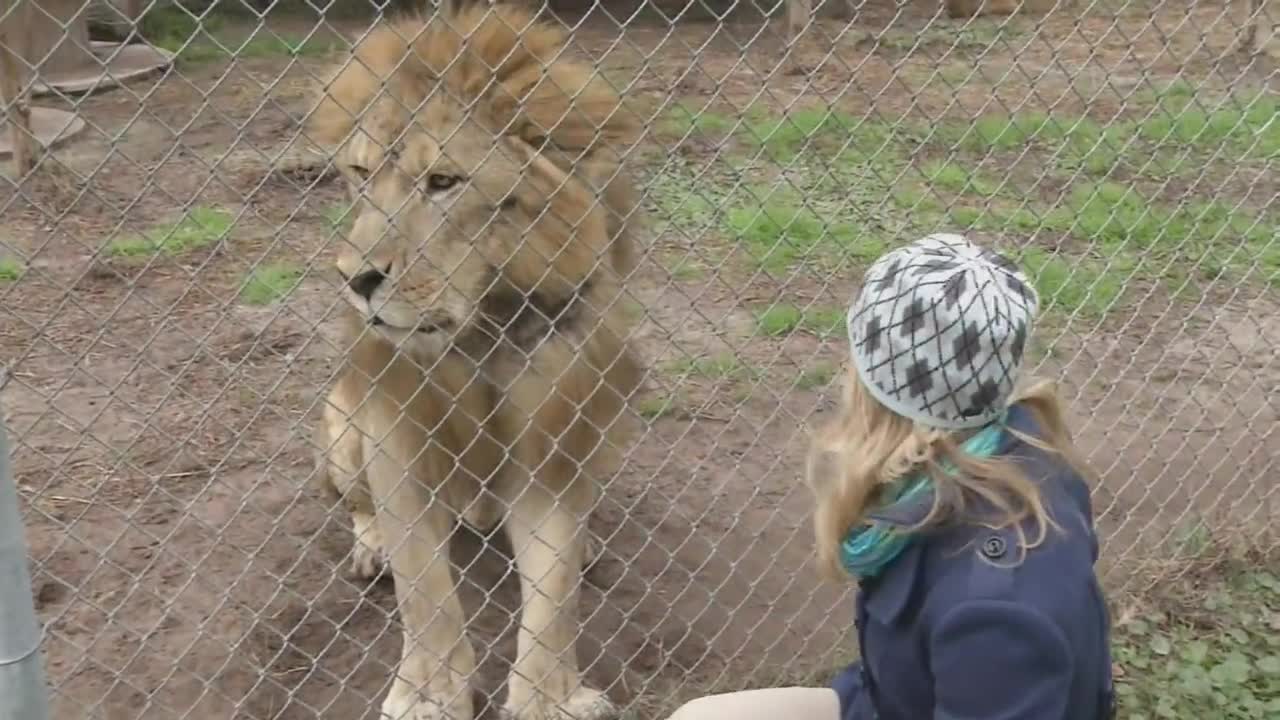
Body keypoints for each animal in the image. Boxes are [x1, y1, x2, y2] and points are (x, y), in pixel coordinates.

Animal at [305, 4, 645, 712]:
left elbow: (554, 596)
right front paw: (429, 697)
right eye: (360, 176)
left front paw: (548, 699)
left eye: (442, 183)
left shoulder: (556, 441)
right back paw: (370, 549)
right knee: (357, 507)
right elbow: (423, 587)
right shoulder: (394, 433)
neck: (480, 331)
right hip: (342, 423)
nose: (355, 278)